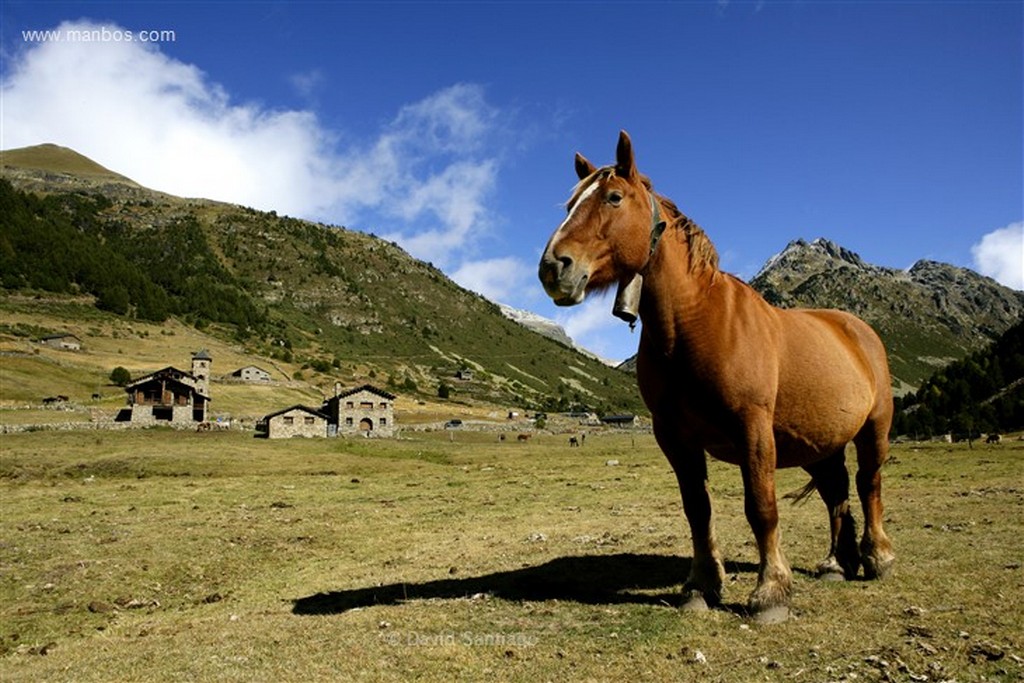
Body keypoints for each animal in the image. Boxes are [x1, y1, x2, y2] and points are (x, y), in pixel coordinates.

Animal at [536, 131, 897, 622]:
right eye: (572, 203)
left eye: (613, 198)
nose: (553, 268)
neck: (697, 323)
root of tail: (857, 330)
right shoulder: (675, 436)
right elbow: (697, 509)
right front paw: (702, 586)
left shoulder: (752, 429)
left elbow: (761, 507)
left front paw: (771, 592)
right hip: (819, 443)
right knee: (835, 492)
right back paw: (837, 564)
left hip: (873, 430)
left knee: (868, 483)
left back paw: (878, 557)